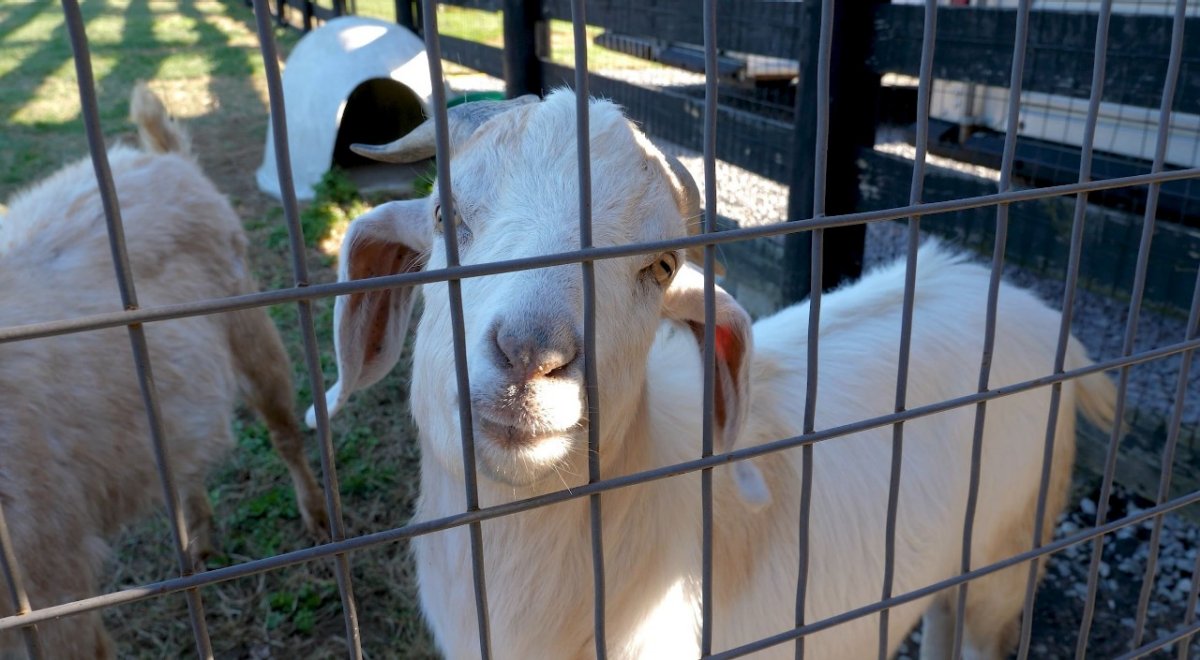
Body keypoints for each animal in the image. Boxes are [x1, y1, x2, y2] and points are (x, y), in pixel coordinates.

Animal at [0, 84, 327, 659]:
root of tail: (165, 157)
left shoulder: (50, 578)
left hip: (247, 318)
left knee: (283, 429)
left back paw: (318, 519)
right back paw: (198, 541)